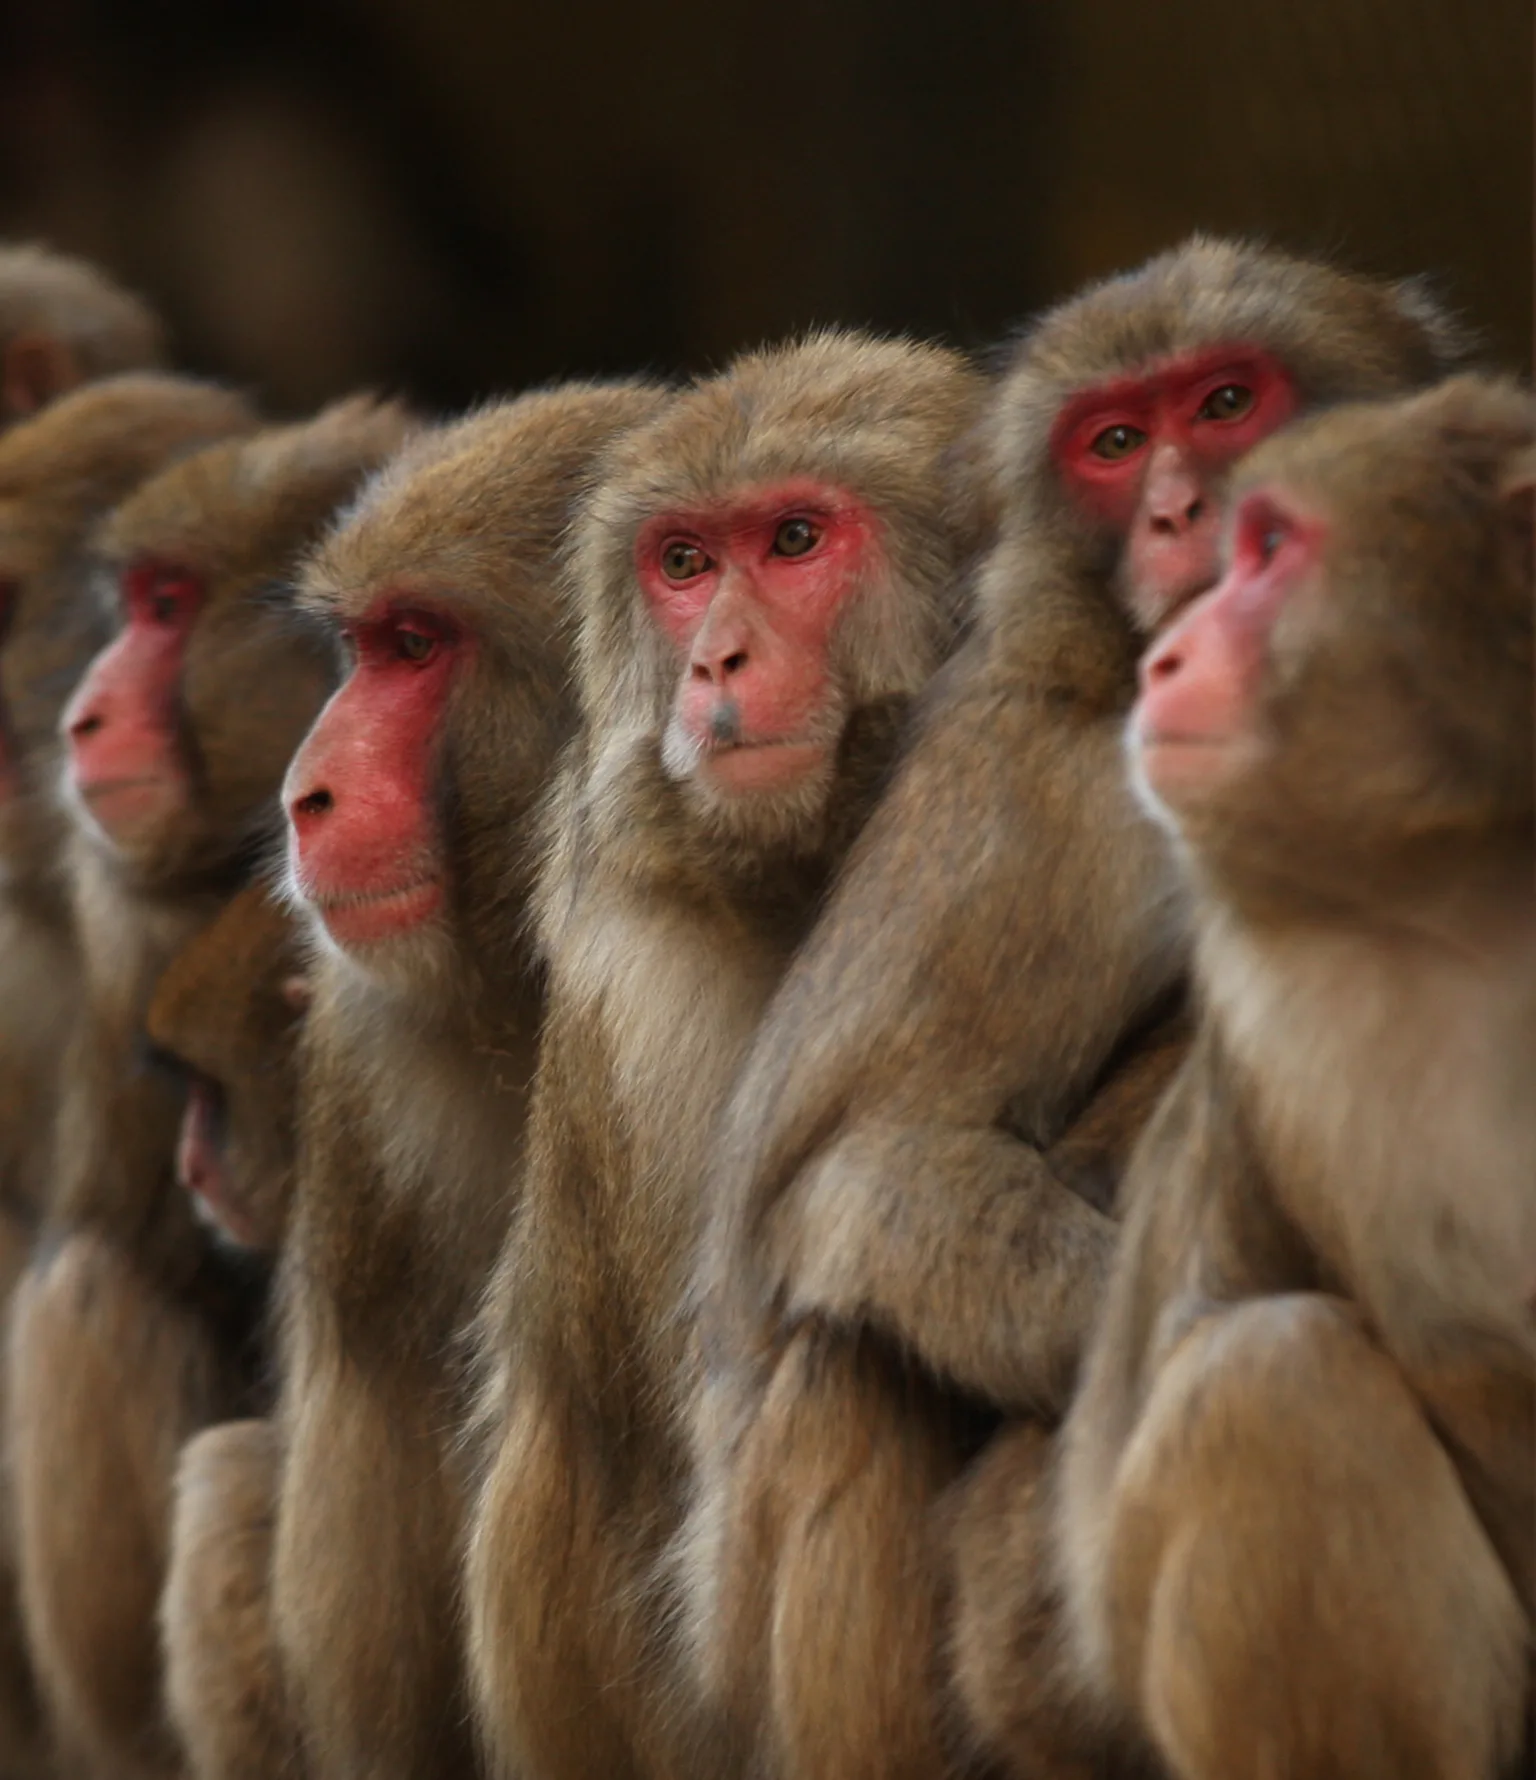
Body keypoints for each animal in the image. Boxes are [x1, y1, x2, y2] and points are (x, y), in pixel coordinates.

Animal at [674, 238, 1471, 1780]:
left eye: (1225, 401)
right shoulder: (1040, 790)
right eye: (1112, 444)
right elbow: (853, 1163)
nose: (1177, 509)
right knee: (849, 1347)